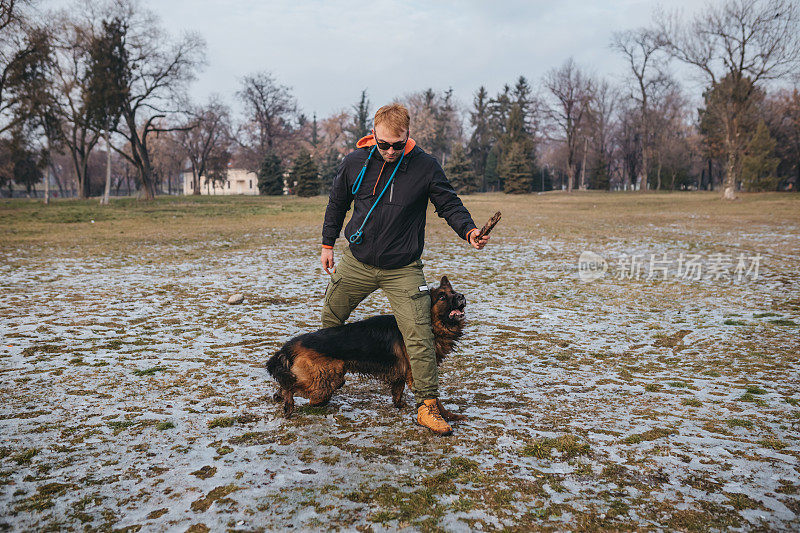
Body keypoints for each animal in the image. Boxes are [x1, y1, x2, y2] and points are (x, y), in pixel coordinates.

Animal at [268, 274, 468, 420]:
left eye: (453, 291)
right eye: (442, 297)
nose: (461, 296)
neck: (432, 325)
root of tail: (291, 345)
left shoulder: (402, 373)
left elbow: (398, 390)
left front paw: (399, 405)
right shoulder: (415, 372)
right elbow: (434, 398)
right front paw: (447, 416)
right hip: (324, 377)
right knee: (291, 385)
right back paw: (289, 405)